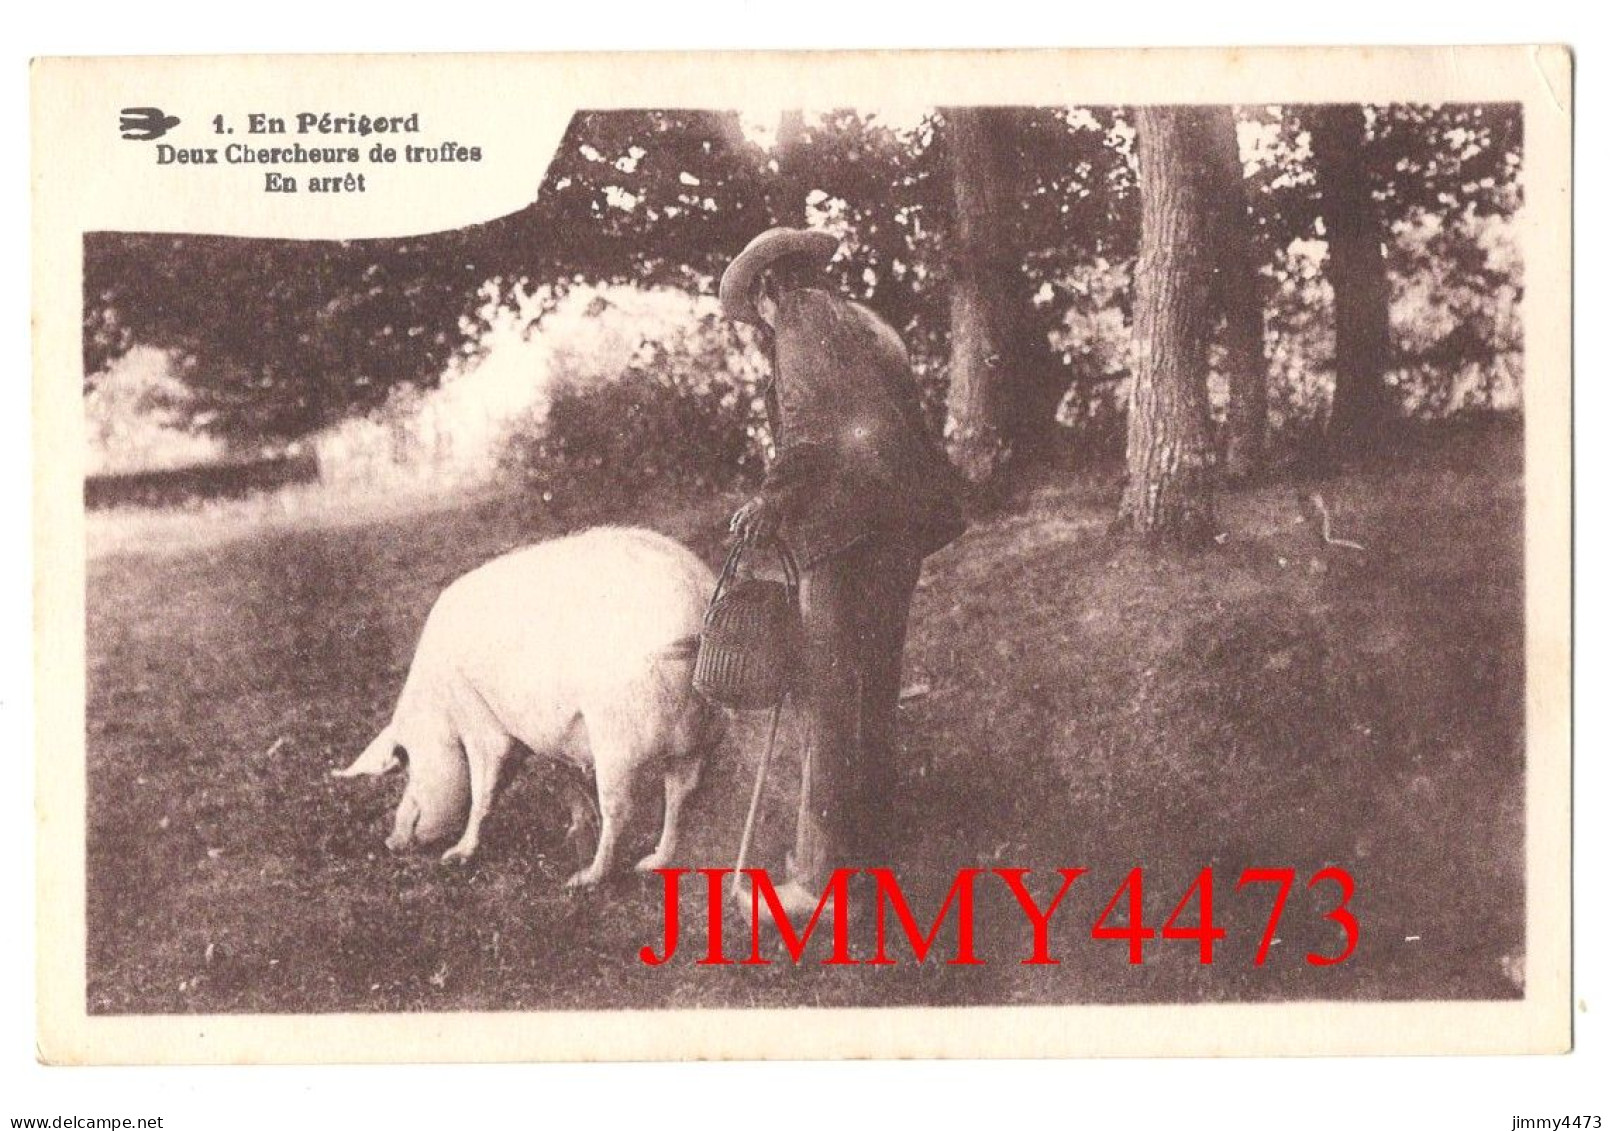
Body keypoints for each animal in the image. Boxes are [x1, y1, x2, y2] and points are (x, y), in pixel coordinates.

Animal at [330, 528, 715, 889]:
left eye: (405, 759)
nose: (390, 842)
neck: (440, 708)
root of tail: (697, 598)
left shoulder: (478, 718)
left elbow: (483, 787)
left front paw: (455, 855)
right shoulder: (550, 735)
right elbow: (566, 780)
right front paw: (573, 831)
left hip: (616, 732)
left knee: (621, 809)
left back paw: (583, 879)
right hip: (700, 732)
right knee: (681, 792)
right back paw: (651, 863)